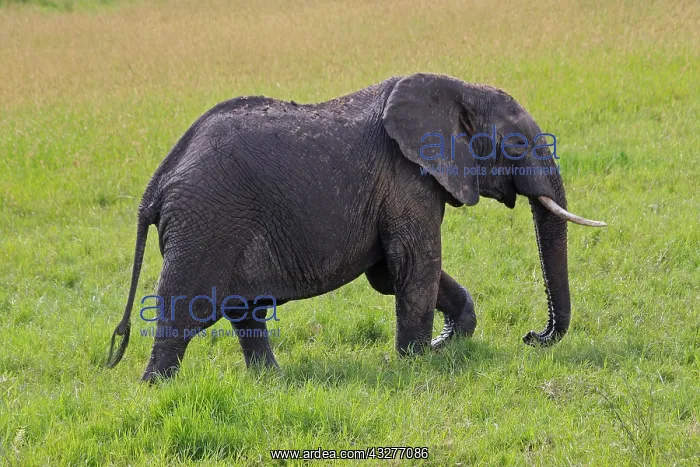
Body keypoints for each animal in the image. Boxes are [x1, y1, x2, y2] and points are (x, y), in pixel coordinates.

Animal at [105, 73, 606, 382]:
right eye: (516, 144)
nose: (532, 337)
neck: (459, 89)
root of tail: (158, 182)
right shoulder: (406, 176)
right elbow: (414, 264)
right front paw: (417, 362)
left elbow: (390, 271)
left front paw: (444, 345)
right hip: (206, 223)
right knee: (182, 311)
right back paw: (156, 389)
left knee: (245, 311)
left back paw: (273, 382)